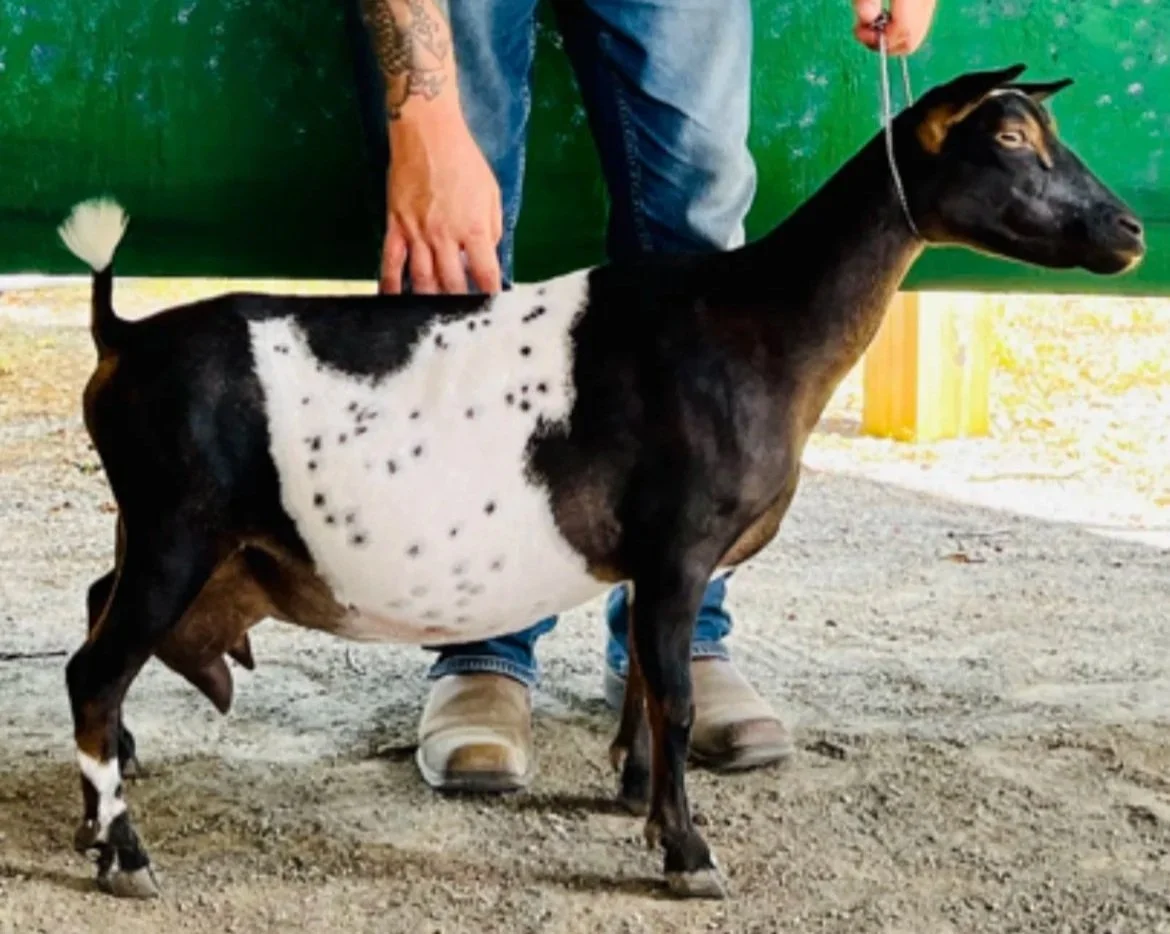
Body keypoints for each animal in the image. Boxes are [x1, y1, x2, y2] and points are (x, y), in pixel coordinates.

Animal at [59, 65, 1144, 900]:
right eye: (1012, 135)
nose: (1130, 229)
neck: (753, 322)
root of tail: (121, 335)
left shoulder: (654, 566)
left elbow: (651, 692)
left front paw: (635, 798)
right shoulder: (679, 547)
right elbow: (675, 694)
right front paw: (689, 853)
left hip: (159, 532)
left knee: (97, 611)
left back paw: (102, 801)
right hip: (178, 526)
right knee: (93, 668)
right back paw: (124, 853)